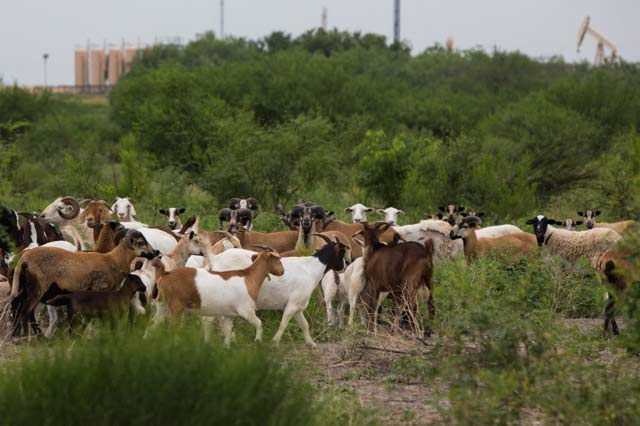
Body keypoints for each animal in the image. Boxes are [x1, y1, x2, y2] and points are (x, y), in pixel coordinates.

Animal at [10, 228, 156, 338]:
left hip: (25, 287)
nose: (155, 252)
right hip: (38, 287)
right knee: (25, 311)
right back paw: (28, 338)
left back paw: (18, 336)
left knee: (17, 306)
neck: (113, 261)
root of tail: (24, 259)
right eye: (141, 242)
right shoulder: (99, 289)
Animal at [151, 246, 284, 346]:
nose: (282, 271)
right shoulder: (246, 311)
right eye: (277, 259)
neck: (249, 277)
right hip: (176, 307)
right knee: (173, 327)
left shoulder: (229, 315)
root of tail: (165, 274)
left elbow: (228, 331)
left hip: (162, 304)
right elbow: (259, 324)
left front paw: (226, 347)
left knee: (154, 322)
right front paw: (258, 342)